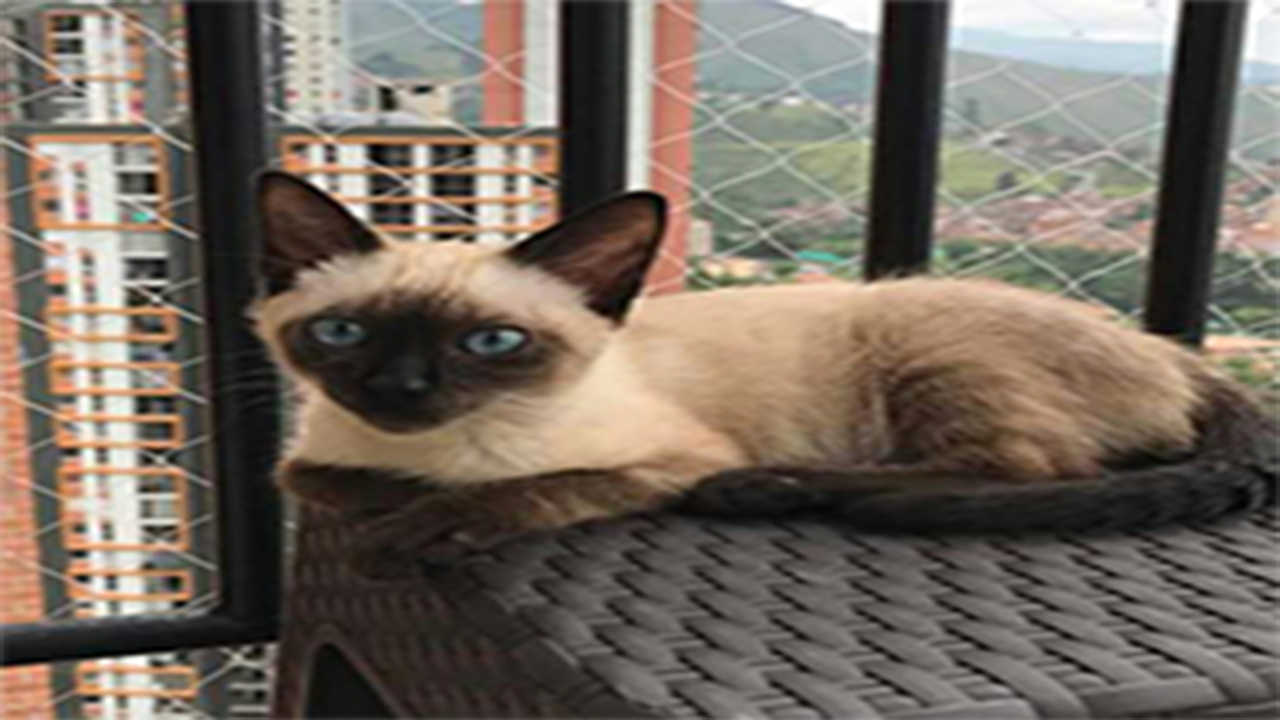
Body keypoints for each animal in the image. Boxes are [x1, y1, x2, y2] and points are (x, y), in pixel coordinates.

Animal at [252, 171, 1277, 578]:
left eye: (493, 344)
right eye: (341, 332)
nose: (401, 392)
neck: (447, 449)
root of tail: (1171, 348)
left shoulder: (668, 462)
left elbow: (530, 489)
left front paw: (414, 532)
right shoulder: (307, 458)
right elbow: (326, 478)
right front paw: (394, 504)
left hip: (923, 341)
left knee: (1026, 470)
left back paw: (770, 488)